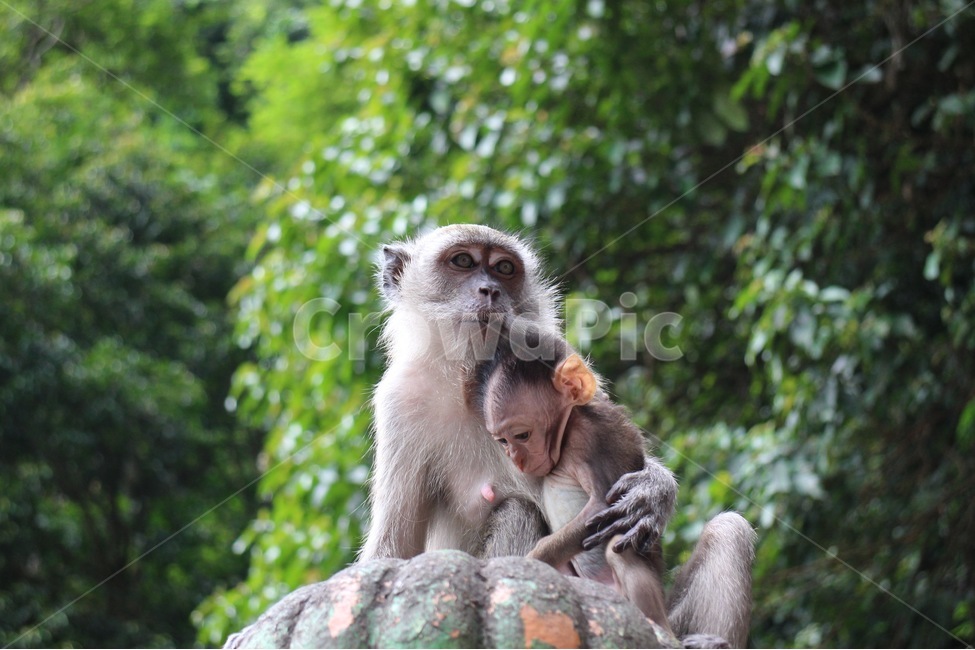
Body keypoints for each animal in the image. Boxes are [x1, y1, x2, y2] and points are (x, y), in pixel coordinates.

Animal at [476, 329, 674, 636]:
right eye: (503, 441)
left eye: (522, 435)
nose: (517, 460)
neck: (568, 429)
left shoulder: (590, 438)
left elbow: (601, 505)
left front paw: (529, 561)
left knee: (618, 546)